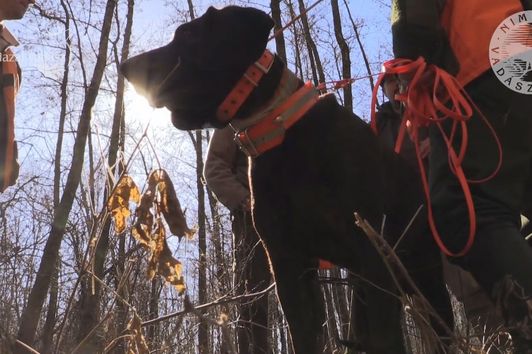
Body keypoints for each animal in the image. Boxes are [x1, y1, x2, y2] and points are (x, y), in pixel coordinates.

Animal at [122, 6, 456, 354]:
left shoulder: (372, 250)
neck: (276, 125)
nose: (124, 67)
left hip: (423, 274)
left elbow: (385, 337)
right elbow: (304, 335)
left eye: (187, 35)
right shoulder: (287, 263)